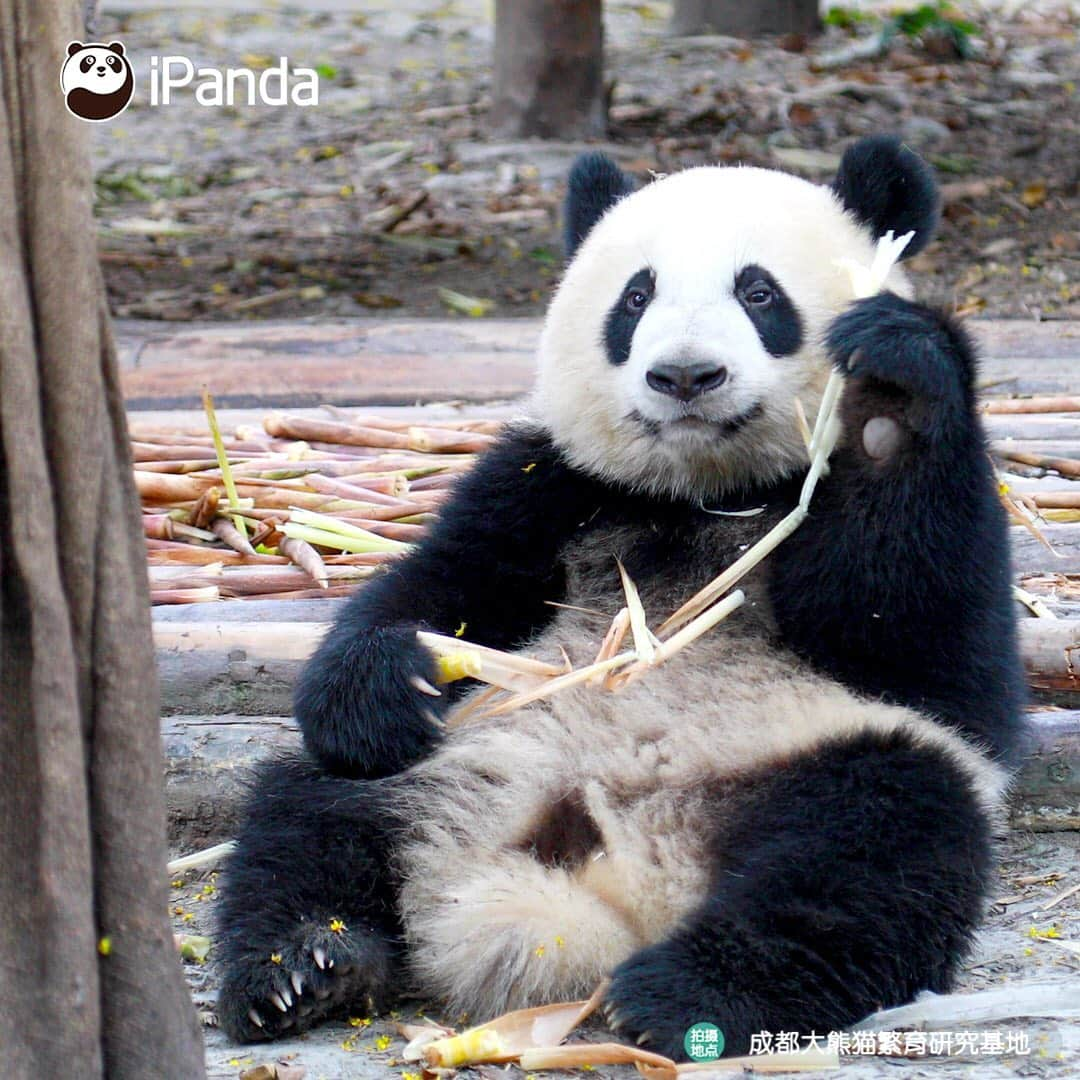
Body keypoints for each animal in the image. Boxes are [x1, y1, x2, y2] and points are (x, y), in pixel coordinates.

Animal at [214, 132, 1023, 1054]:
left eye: (759, 292)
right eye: (637, 297)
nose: (685, 376)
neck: (705, 491)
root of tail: (604, 889)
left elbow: (929, 645)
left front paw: (891, 392)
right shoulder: (554, 483)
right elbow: (444, 583)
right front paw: (379, 679)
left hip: (811, 752)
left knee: (875, 845)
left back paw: (686, 992)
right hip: (469, 743)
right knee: (313, 809)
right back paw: (304, 965)